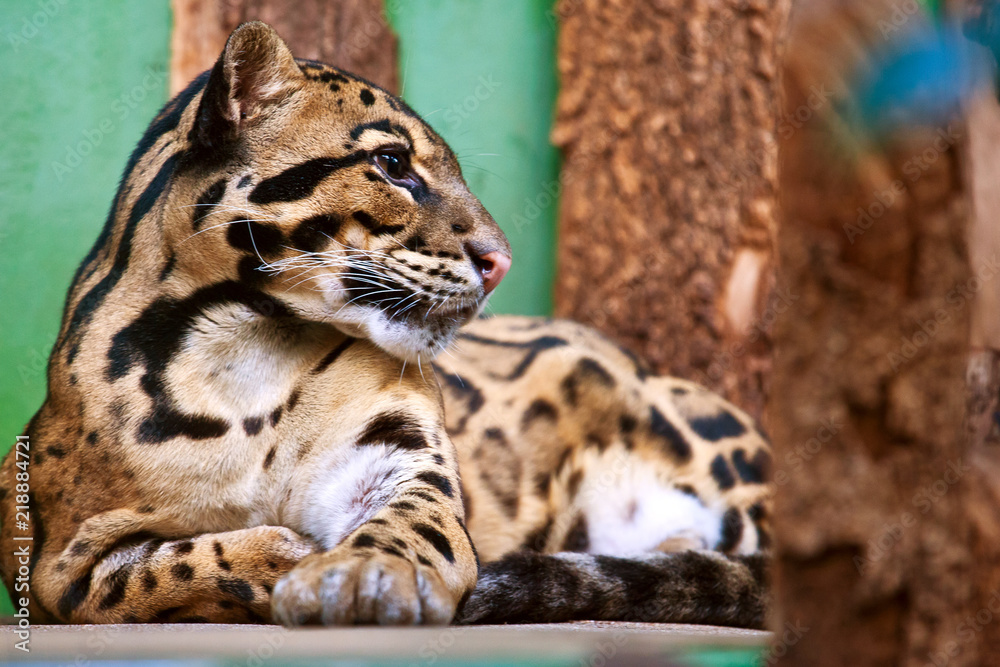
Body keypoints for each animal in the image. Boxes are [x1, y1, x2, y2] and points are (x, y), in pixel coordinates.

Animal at [0, 21, 771, 628]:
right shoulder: (52, 554)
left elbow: (413, 521)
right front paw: (286, 553)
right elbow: (153, 575)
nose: (501, 260)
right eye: (393, 163)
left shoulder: (397, 449)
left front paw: (361, 575)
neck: (239, 348)